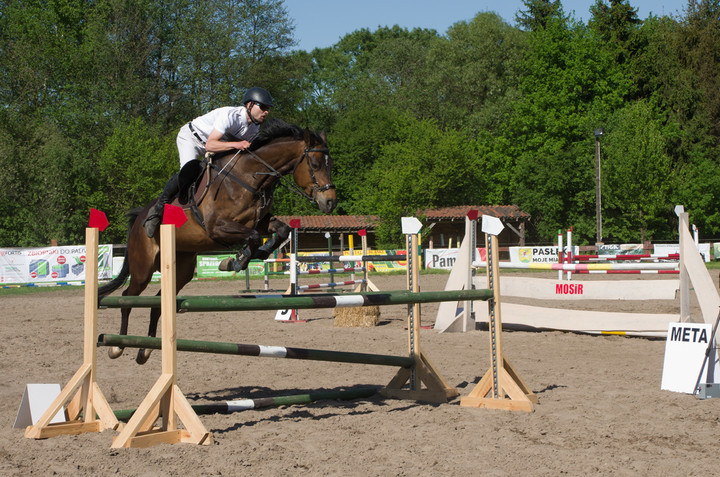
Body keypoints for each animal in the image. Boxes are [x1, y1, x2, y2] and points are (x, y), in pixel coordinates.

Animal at [98, 118, 338, 360]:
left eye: (331, 165)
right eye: (315, 164)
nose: (330, 202)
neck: (249, 178)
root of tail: (139, 217)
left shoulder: (260, 222)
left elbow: (282, 230)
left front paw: (252, 255)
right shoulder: (217, 227)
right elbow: (252, 237)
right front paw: (237, 260)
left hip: (182, 268)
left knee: (158, 303)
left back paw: (145, 349)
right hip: (143, 267)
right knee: (127, 297)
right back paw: (117, 346)